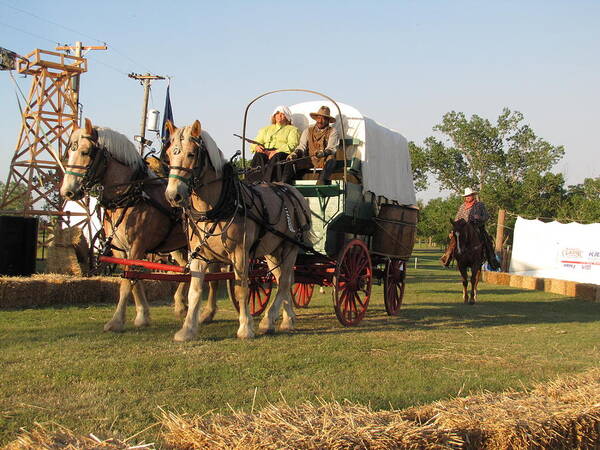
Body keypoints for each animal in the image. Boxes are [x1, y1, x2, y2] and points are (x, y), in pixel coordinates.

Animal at [59, 118, 220, 330]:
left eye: (85, 152)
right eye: (69, 152)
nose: (67, 192)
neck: (131, 195)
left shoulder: (137, 245)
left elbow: (128, 281)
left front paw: (116, 321)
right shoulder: (120, 249)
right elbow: (133, 278)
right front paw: (142, 315)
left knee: (213, 274)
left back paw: (208, 311)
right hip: (178, 246)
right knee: (186, 269)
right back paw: (181, 305)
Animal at [166, 119, 312, 342]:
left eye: (191, 154)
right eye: (168, 154)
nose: (173, 195)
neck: (216, 207)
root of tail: (294, 192)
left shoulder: (239, 252)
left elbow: (241, 288)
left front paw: (245, 328)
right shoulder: (199, 255)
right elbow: (195, 290)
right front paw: (188, 329)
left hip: (290, 247)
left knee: (285, 281)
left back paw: (268, 320)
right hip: (272, 251)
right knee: (283, 280)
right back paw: (287, 319)